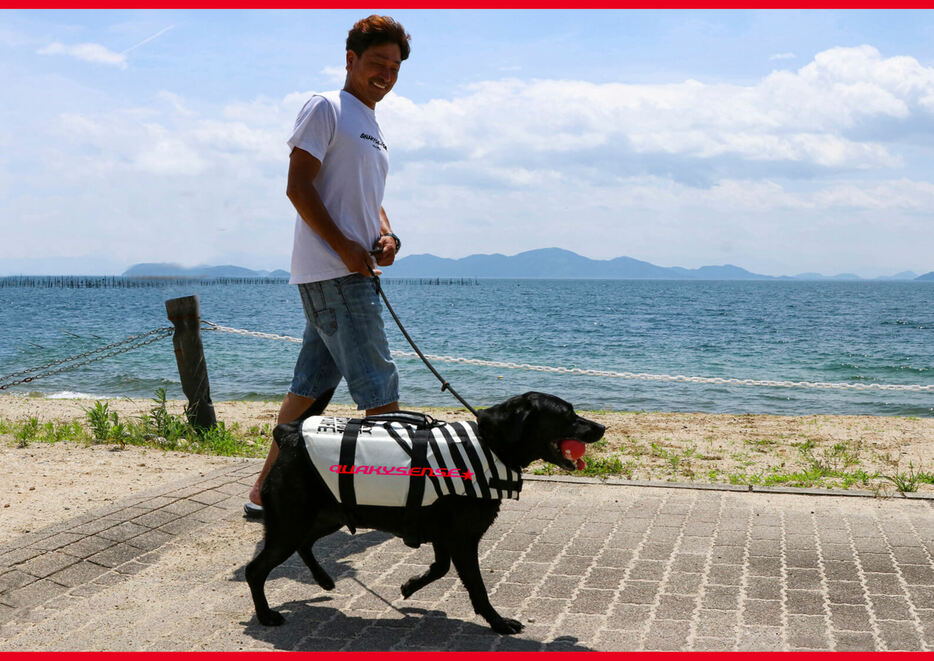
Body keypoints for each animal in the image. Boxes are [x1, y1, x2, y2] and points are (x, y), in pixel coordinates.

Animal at [245, 392, 608, 636]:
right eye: (567, 414)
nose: (601, 427)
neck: (490, 444)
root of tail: (289, 434)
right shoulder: (462, 539)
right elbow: (477, 588)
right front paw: (498, 621)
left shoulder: (444, 535)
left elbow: (440, 567)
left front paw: (410, 586)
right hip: (291, 523)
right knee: (256, 569)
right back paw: (266, 615)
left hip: (326, 516)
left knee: (305, 545)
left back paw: (323, 579)